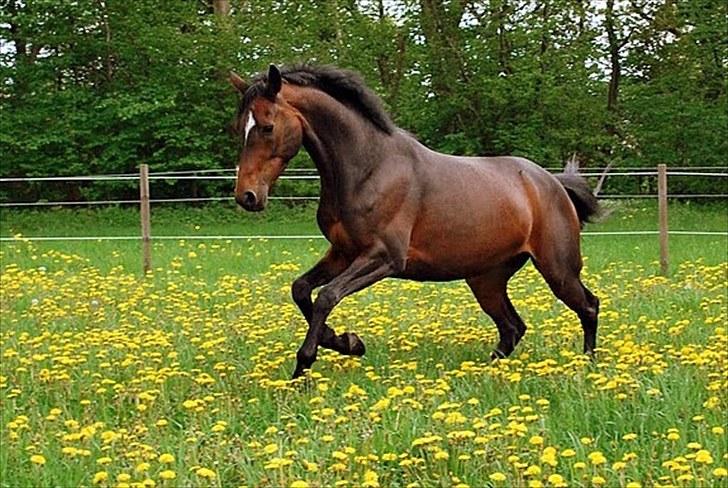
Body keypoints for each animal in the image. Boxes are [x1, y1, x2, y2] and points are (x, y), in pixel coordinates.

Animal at [230, 63, 600, 380]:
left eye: (267, 126)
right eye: (239, 128)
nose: (246, 196)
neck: (369, 169)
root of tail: (551, 182)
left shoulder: (384, 258)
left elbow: (326, 297)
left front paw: (309, 361)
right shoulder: (342, 253)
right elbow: (302, 289)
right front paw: (346, 342)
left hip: (557, 268)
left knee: (589, 307)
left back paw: (589, 367)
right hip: (487, 279)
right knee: (512, 328)